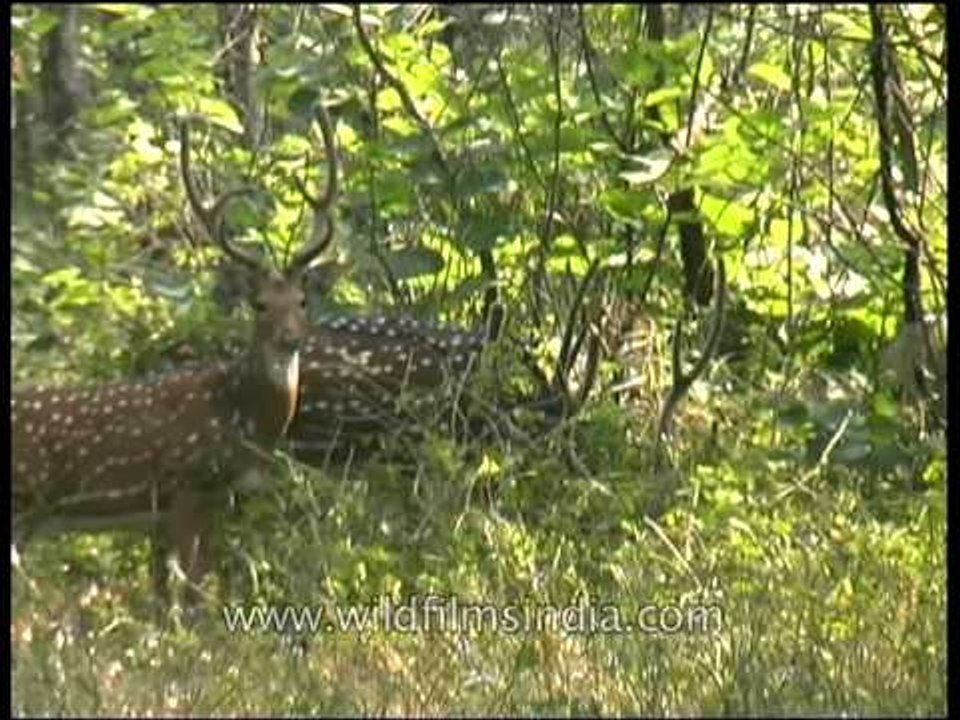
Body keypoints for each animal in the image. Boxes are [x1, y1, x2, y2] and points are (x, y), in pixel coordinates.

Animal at [11, 100, 339, 607]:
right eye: (259, 303)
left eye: (302, 301)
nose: (291, 339)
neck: (240, 417)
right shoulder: (187, 486)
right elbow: (192, 597)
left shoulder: (194, 507)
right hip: (24, 501)